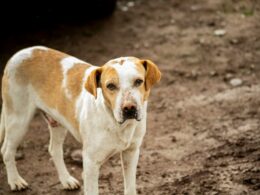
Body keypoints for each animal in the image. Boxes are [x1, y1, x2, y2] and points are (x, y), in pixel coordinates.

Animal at [0, 46, 160, 195]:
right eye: (110, 86)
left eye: (138, 81)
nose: (129, 108)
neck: (116, 123)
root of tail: (19, 54)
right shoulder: (90, 163)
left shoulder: (131, 153)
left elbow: (130, 187)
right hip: (18, 121)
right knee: (6, 150)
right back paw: (15, 181)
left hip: (57, 123)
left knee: (54, 149)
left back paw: (66, 180)